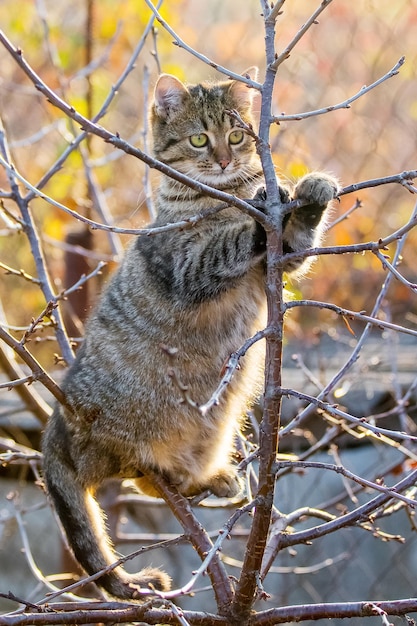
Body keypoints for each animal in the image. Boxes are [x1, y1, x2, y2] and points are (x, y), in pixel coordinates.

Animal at [41, 69, 338, 600]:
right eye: (200, 138)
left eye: (237, 135)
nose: (222, 159)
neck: (222, 199)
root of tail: (56, 427)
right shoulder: (189, 265)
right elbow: (234, 240)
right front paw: (265, 209)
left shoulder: (281, 264)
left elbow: (296, 240)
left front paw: (310, 194)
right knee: (137, 477)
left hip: (213, 428)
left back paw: (213, 481)